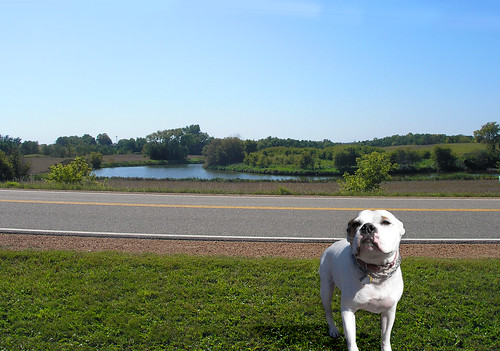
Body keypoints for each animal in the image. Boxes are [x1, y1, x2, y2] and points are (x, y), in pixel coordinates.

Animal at [320, 210, 406, 350]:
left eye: (386, 222)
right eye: (356, 223)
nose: (367, 227)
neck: (374, 270)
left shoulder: (389, 312)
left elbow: (385, 337)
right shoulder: (348, 311)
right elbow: (351, 340)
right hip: (326, 289)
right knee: (328, 311)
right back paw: (333, 329)